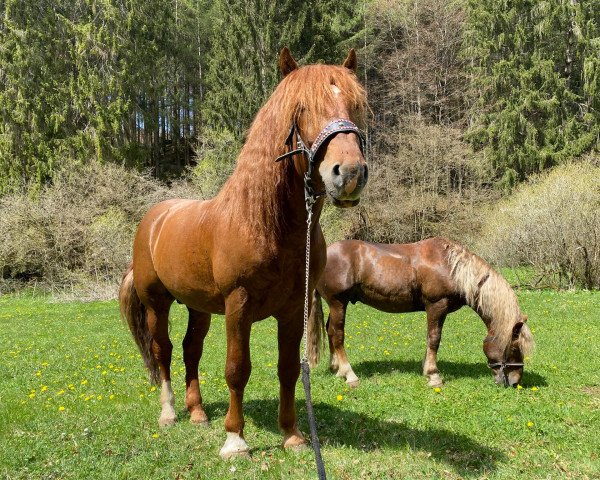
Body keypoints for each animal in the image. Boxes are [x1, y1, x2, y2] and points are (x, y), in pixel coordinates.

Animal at [119, 47, 368, 458]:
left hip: (199, 307)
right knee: (163, 351)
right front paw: (235, 439)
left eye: (356, 106)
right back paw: (169, 412)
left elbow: (288, 369)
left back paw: (198, 412)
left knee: (190, 350)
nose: (348, 174)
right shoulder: (238, 306)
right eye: (301, 109)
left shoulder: (292, 309)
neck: (266, 225)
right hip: (157, 303)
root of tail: (154, 218)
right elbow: (237, 369)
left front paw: (292, 433)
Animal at [310, 238, 536, 388]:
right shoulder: (437, 306)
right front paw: (434, 376)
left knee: (330, 331)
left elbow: (429, 339)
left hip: (336, 305)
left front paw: (426, 369)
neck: (451, 266)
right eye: (514, 347)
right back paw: (349, 375)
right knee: (337, 334)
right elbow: (435, 339)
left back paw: (336, 369)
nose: (515, 382)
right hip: (338, 303)